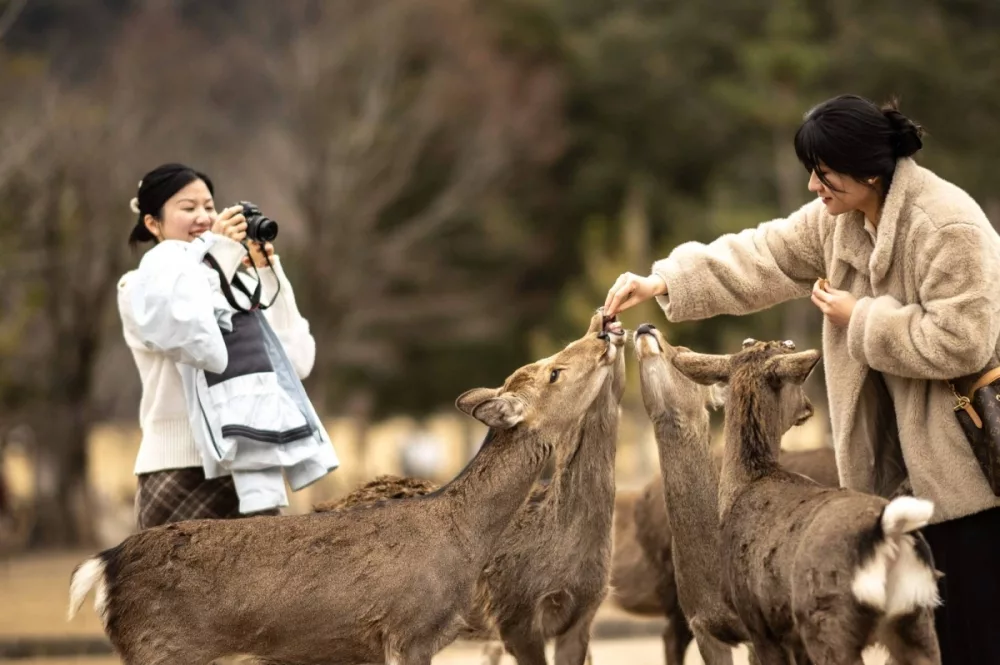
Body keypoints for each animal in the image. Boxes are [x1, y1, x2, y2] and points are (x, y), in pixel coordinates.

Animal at [672, 338, 944, 664]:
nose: (809, 407)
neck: (744, 486)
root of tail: (888, 535)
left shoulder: (757, 622)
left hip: (827, 621)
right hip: (918, 620)